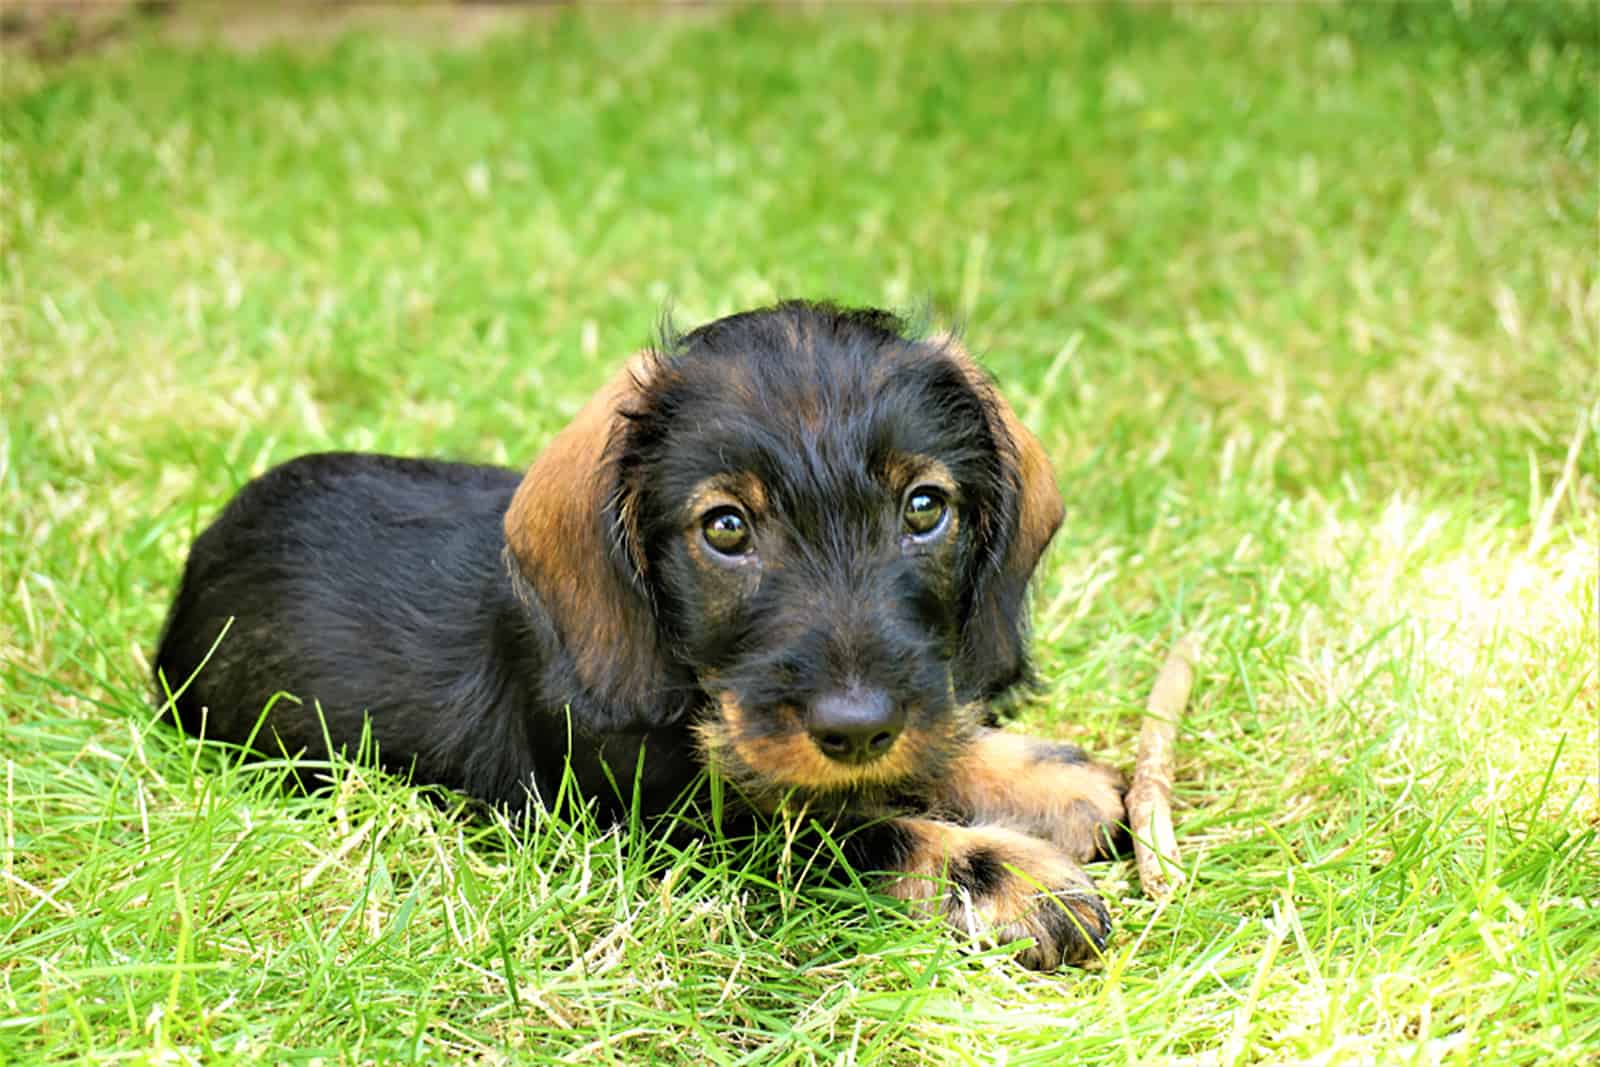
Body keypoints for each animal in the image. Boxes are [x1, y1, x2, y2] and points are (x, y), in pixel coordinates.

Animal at [156, 299, 1120, 966]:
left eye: (925, 508)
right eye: (725, 528)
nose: (856, 726)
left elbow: (912, 754)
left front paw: (1035, 775)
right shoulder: (664, 824)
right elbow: (842, 831)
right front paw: (1007, 876)